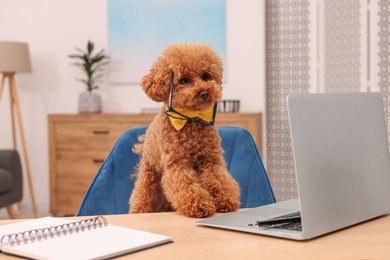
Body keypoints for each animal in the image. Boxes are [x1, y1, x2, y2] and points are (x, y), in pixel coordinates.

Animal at [129, 42, 241, 217]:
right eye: (184, 80)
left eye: (205, 76)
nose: (204, 92)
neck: (191, 119)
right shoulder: (177, 163)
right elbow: (185, 184)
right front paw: (199, 205)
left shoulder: (210, 159)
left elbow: (218, 178)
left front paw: (225, 200)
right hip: (149, 175)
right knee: (142, 194)